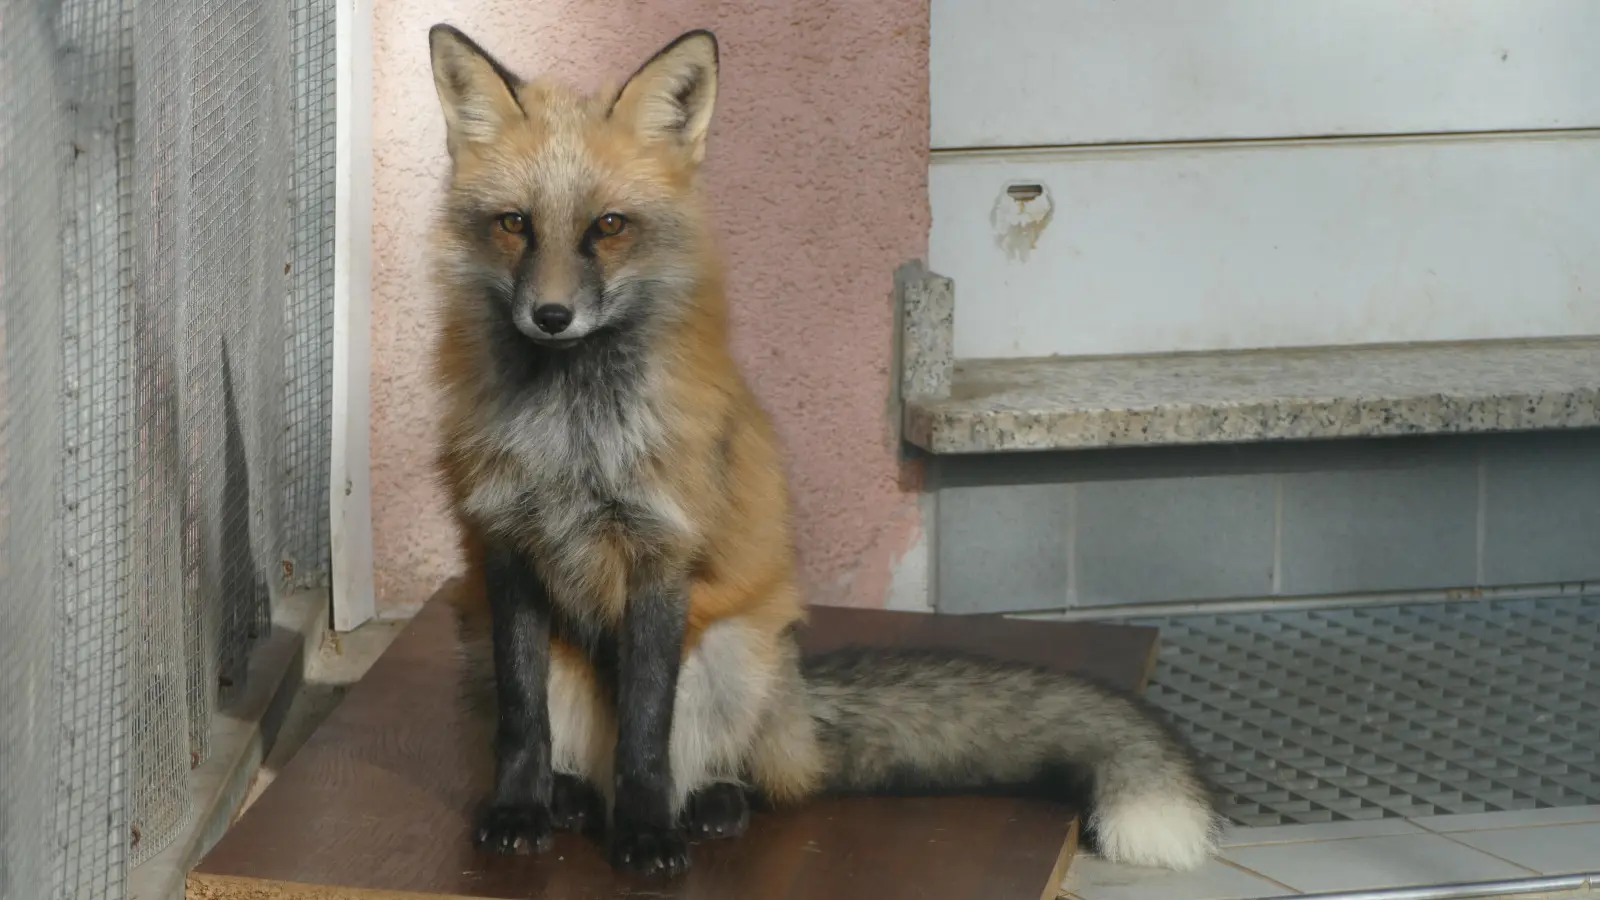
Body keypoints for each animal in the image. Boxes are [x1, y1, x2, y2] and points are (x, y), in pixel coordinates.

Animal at [425, 22, 1222, 877]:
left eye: (608, 227)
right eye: (514, 224)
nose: (550, 316)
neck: (570, 434)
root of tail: (798, 699)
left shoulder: (662, 554)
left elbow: (645, 734)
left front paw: (644, 836)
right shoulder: (505, 548)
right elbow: (521, 722)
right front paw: (518, 812)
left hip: (728, 657)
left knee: (732, 773)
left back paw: (704, 807)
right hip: (518, 650)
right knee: (577, 757)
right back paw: (571, 799)